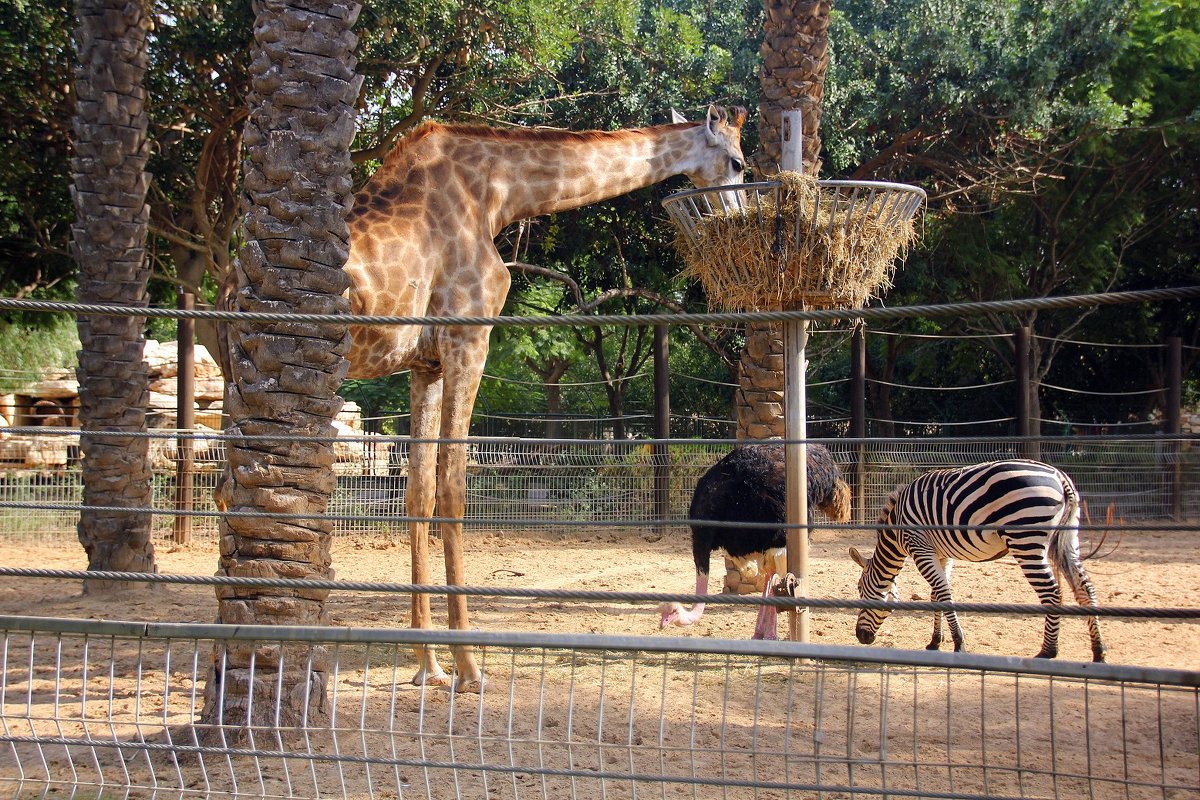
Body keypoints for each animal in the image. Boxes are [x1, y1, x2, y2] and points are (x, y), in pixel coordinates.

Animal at [343, 103, 744, 690]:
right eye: (737, 161)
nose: (736, 216)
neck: (495, 194)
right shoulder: (468, 337)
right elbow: (454, 490)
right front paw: (469, 667)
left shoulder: (425, 363)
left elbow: (418, 494)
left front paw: (428, 666)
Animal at [849, 460, 1099, 662]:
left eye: (860, 589)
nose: (861, 637)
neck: (897, 529)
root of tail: (1060, 477)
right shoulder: (941, 553)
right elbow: (936, 594)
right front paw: (935, 642)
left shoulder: (919, 547)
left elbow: (943, 593)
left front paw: (959, 643)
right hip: (1068, 538)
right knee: (1085, 587)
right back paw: (1098, 651)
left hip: (1026, 540)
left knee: (1052, 592)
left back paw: (1048, 651)